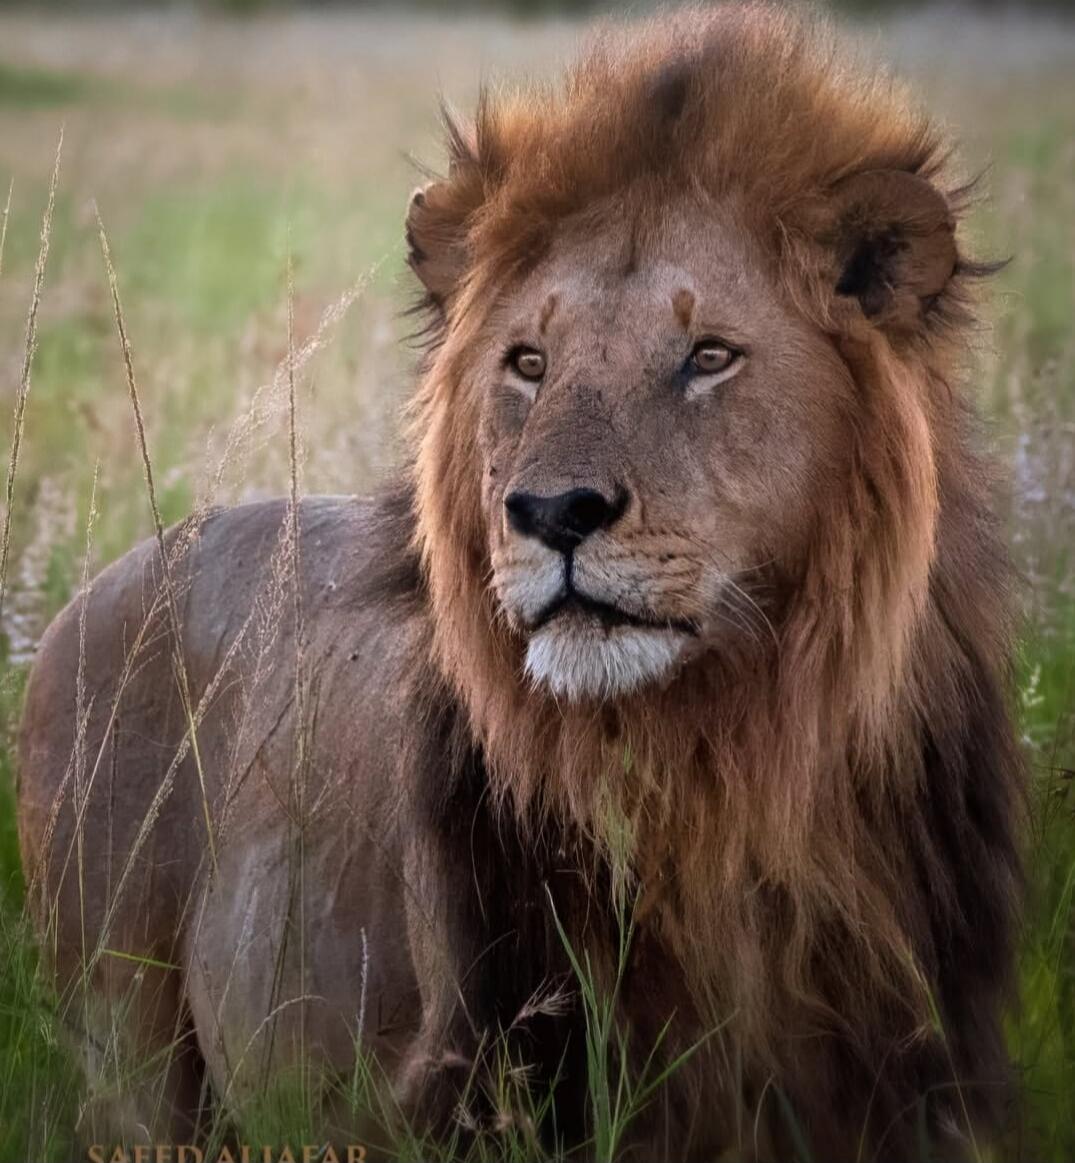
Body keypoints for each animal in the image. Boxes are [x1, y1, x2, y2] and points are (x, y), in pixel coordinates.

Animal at [18, 5, 1024, 1161]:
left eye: (708, 356)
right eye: (529, 362)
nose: (552, 511)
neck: (720, 772)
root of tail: (100, 583)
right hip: (125, 1047)